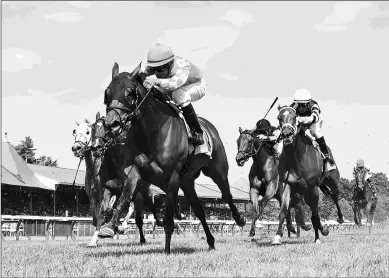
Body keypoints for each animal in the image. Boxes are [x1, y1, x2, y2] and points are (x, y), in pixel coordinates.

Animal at [100, 63, 246, 254]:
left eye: (130, 93)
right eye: (107, 93)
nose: (112, 124)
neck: (153, 133)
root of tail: (210, 127)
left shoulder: (173, 177)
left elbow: (168, 217)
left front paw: (167, 250)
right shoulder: (136, 172)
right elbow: (125, 196)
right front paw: (109, 227)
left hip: (217, 170)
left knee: (226, 194)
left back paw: (239, 219)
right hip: (187, 181)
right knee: (199, 210)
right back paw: (211, 241)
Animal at [272, 105, 342, 244]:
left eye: (294, 117)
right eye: (279, 117)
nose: (286, 134)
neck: (296, 158)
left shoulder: (312, 187)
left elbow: (314, 215)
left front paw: (319, 236)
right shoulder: (287, 184)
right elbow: (283, 210)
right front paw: (277, 236)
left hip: (332, 180)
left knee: (335, 195)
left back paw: (340, 218)